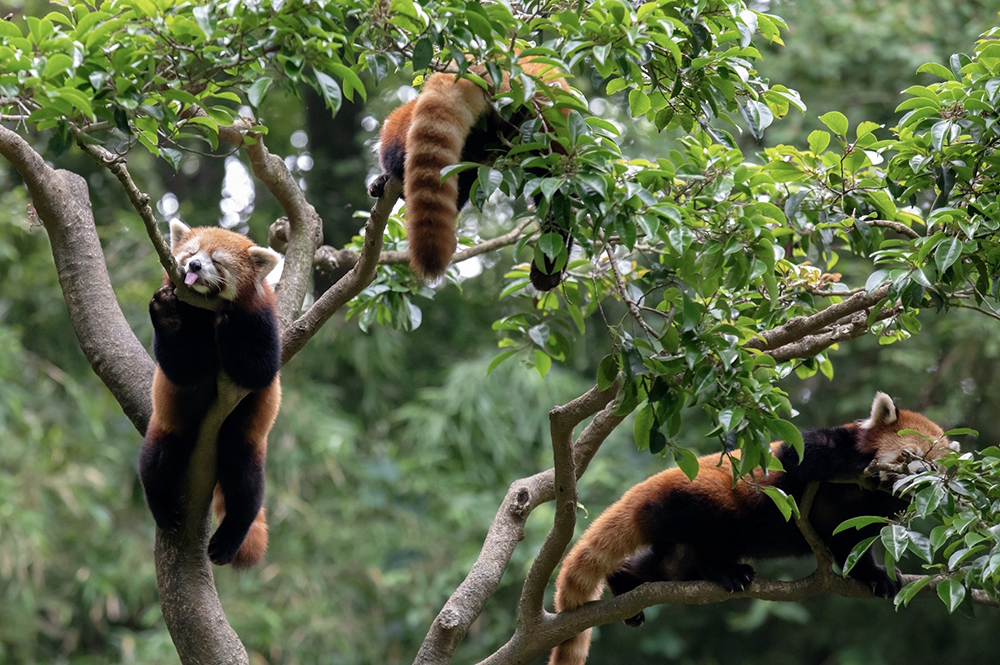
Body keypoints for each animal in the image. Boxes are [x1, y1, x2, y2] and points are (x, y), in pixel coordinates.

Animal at [137, 220, 282, 568]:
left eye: (216, 260)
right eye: (191, 253)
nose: (194, 266)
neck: (207, 309)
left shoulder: (262, 322)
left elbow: (259, 370)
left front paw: (227, 328)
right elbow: (184, 369)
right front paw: (165, 313)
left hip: (245, 439)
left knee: (245, 489)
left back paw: (228, 539)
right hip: (169, 426)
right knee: (156, 463)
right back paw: (163, 507)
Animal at [552, 394, 956, 664]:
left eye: (934, 466)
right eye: (909, 456)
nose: (919, 475)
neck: (865, 496)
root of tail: (650, 488)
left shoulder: (861, 517)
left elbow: (849, 544)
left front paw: (875, 575)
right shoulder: (818, 452)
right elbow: (803, 457)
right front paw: (863, 467)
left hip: (674, 547)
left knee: (664, 566)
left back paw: (626, 583)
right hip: (703, 500)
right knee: (708, 537)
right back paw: (725, 571)